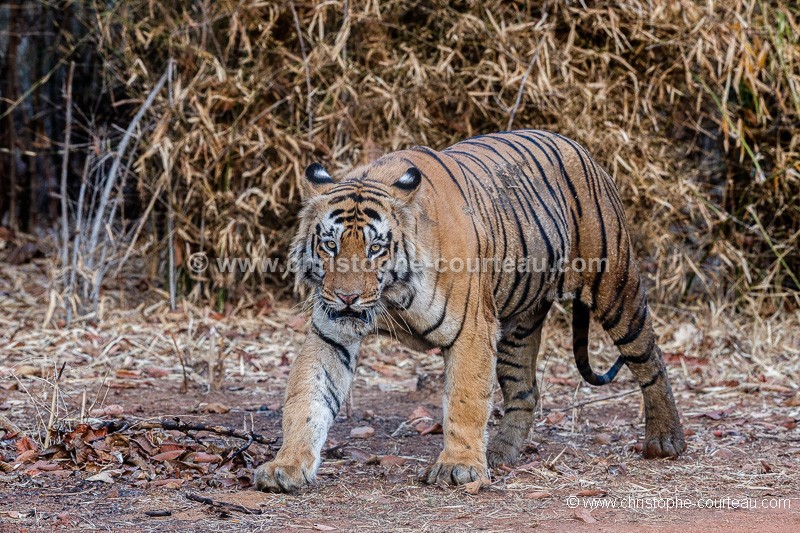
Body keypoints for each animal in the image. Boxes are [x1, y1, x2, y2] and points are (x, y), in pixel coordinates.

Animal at [255, 129, 688, 490]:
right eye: (330, 245)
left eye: (375, 248)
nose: (347, 297)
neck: (390, 295)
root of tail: (578, 146)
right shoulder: (331, 333)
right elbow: (307, 397)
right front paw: (286, 466)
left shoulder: (472, 330)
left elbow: (465, 399)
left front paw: (459, 467)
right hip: (517, 327)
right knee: (525, 390)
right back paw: (500, 453)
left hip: (615, 287)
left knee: (650, 357)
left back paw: (666, 439)